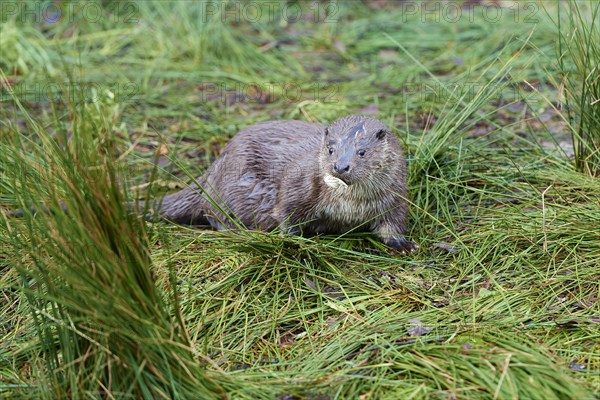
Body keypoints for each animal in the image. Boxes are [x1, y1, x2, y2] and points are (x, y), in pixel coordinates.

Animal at [156, 115, 418, 252]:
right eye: (330, 149)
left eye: (362, 152)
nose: (340, 167)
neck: (349, 207)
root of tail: (214, 165)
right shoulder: (298, 186)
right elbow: (286, 212)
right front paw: (295, 242)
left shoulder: (395, 197)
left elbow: (393, 224)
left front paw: (403, 244)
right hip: (228, 188)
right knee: (214, 214)